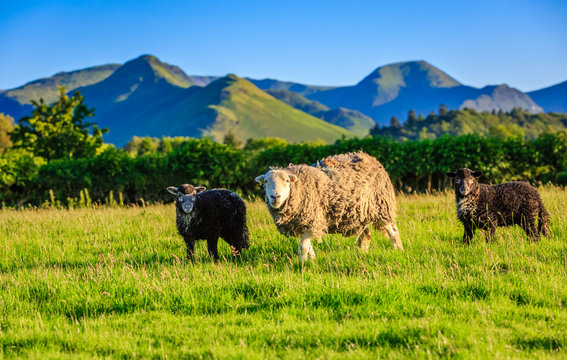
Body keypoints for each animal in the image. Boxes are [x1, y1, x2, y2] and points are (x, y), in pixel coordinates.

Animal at [255, 150, 402, 260]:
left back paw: (398, 250)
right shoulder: (305, 224)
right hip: (360, 213)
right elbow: (308, 247)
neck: (301, 188)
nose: (275, 196)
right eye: (266, 181)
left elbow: (303, 247)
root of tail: (370, 158)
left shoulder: (314, 221)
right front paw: (312, 261)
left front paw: (302, 265)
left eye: (286, 181)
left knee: (392, 231)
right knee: (366, 235)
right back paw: (361, 254)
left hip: (381, 205)